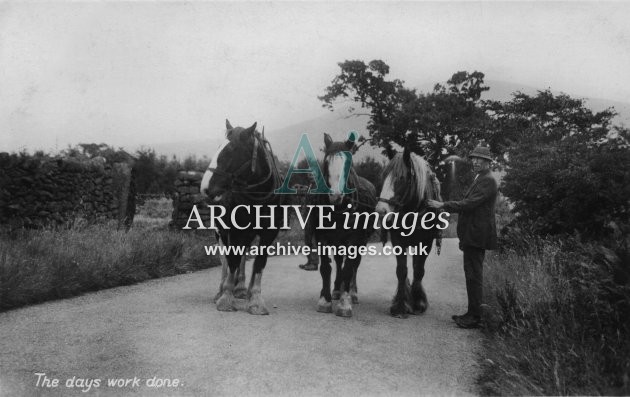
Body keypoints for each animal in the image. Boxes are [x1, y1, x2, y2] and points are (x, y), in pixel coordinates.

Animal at [201, 119, 286, 314]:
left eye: (230, 151)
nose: (205, 187)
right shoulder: (232, 231)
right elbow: (231, 260)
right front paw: (225, 297)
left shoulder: (269, 234)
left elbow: (259, 263)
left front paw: (254, 299)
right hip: (221, 232)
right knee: (226, 259)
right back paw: (223, 288)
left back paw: (240, 288)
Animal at [318, 132, 378, 316]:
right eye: (326, 162)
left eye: (348, 165)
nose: (335, 196)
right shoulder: (321, 236)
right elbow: (326, 268)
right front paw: (325, 300)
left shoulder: (355, 239)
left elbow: (349, 268)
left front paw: (345, 303)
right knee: (338, 261)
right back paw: (337, 289)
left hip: (362, 240)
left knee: (354, 265)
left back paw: (352, 292)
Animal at [376, 147, 444, 318]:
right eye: (383, 176)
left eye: (401, 177)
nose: (381, 210)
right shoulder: (398, 241)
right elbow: (401, 271)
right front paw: (400, 305)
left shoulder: (426, 243)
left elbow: (419, 270)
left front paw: (418, 302)